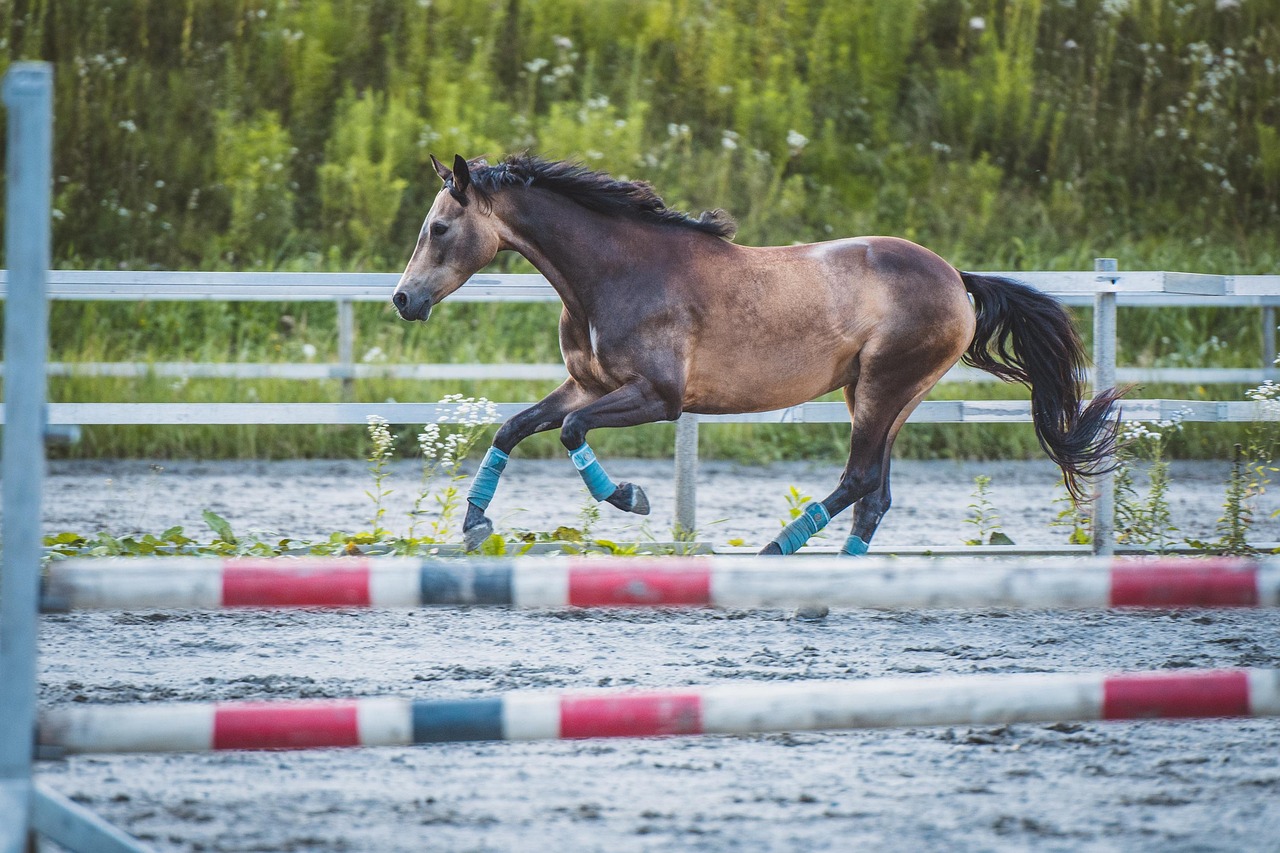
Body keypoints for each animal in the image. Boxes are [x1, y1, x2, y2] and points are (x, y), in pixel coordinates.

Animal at [392, 154, 1123, 556]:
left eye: (440, 228)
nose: (403, 299)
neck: (614, 273)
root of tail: (956, 278)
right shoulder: (586, 385)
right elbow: (513, 427)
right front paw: (474, 522)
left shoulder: (657, 398)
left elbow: (570, 432)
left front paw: (630, 497)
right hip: (883, 396)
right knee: (875, 493)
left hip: (884, 388)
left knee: (860, 479)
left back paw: (778, 547)